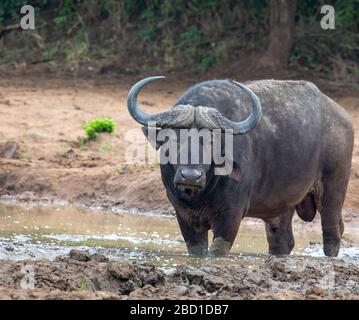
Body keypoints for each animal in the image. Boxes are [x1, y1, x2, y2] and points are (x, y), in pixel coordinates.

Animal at [126, 77, 354, 258]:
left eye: (211, 141)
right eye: (174, 139)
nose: (190, 176)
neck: (201, 194)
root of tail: (342, 117)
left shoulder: (231, 215)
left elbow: (218, 250)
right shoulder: (183, 215)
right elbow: (197, 250)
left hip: (334, 190)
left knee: (333, 231)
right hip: (283, 204)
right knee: (282, 241)